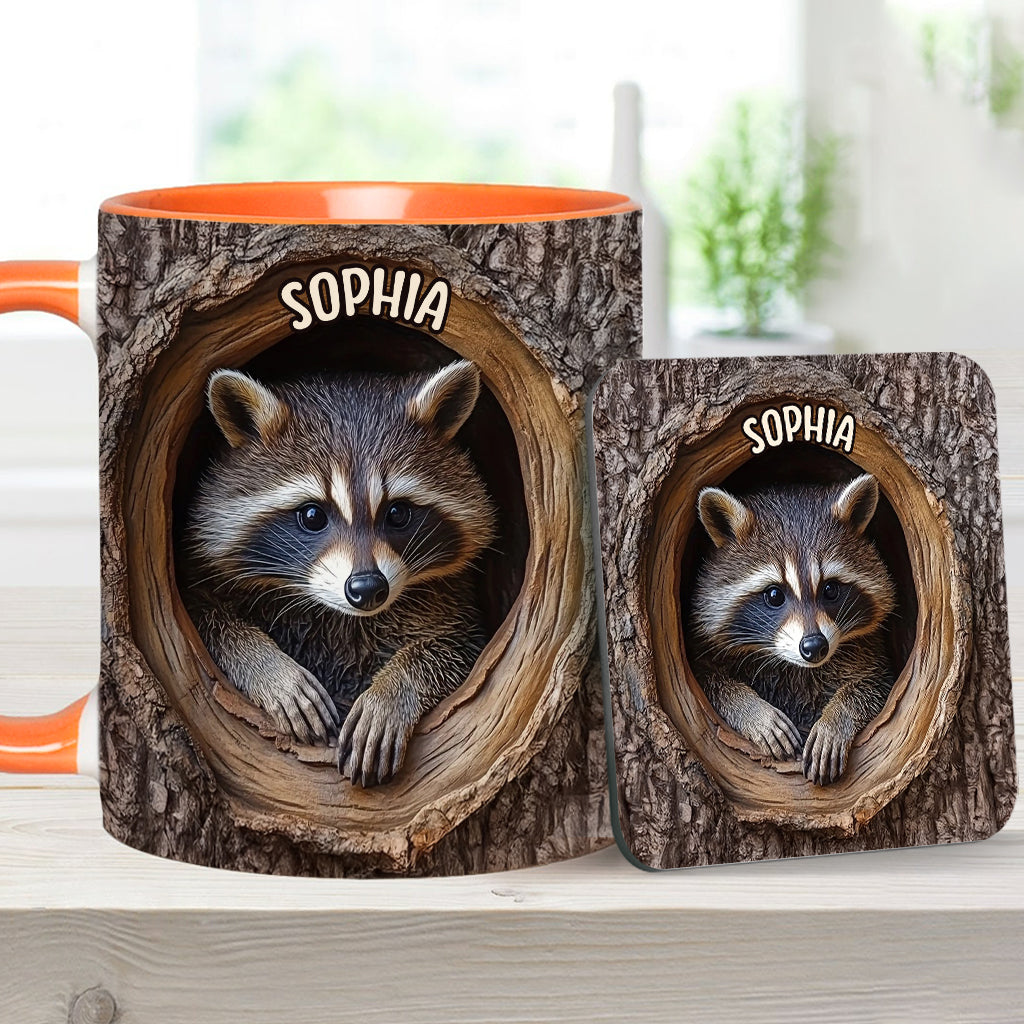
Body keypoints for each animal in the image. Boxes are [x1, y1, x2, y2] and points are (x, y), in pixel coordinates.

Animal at [181, 359, 497, 787]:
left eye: (398, 513)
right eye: (313, 515)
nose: (367, 587)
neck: (341, 615)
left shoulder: (449, 603)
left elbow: (455, 648)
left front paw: (392, 690)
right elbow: (208, 619)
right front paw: (269, 667)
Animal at [690, 473, 897, 786]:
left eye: (830, 589)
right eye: (774, 595)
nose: (814, 646)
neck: (797, 668)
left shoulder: (868, 652)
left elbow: (873, 685)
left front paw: (836, 718)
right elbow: (709, 679)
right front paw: (752, 710)